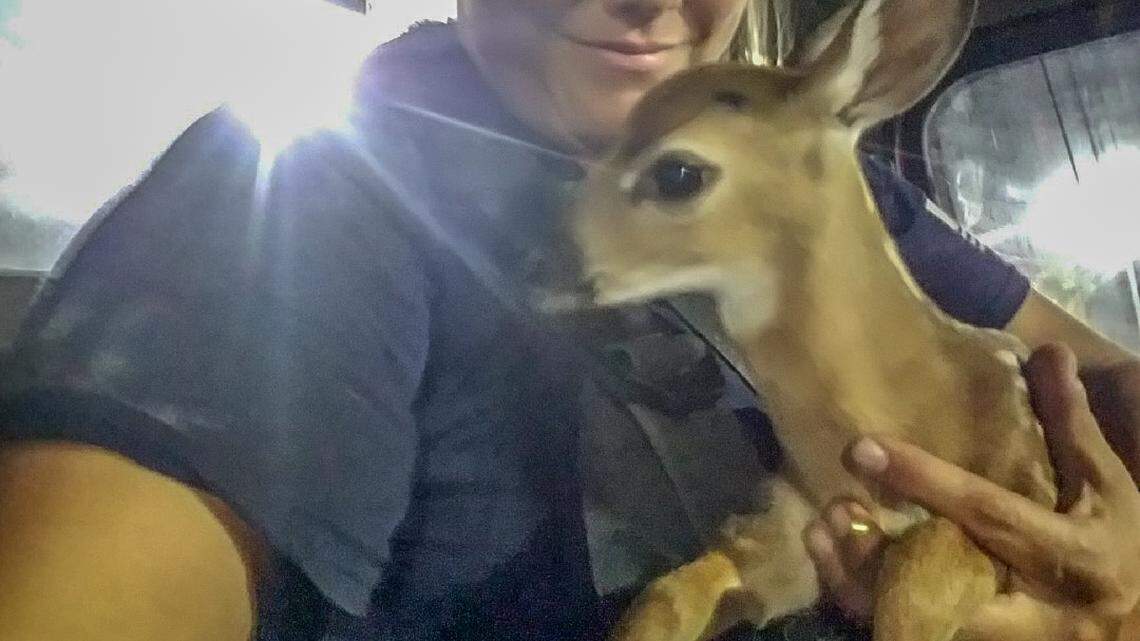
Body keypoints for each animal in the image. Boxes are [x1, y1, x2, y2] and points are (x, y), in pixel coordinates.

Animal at [567, 0, 1061, 640]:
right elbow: (670, 590)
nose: (535, 260)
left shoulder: (1023, 493)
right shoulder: (785, 528)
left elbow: (920, 564)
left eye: (678, 173)